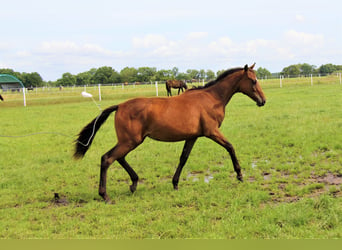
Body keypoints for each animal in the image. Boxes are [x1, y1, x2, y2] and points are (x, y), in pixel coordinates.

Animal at [75, 63, 268, 202]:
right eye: (253, 81)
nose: (263, 101)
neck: (211, 98)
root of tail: (120, 106)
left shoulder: (192, 137)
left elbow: (183, 158)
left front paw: (175, 184)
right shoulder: (212, 132)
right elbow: (230, 147)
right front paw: (240, 175)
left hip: (129, 141)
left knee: (118, 158)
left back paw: (134, 184)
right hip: (130, 141)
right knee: (107, 158)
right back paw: (105, 195)